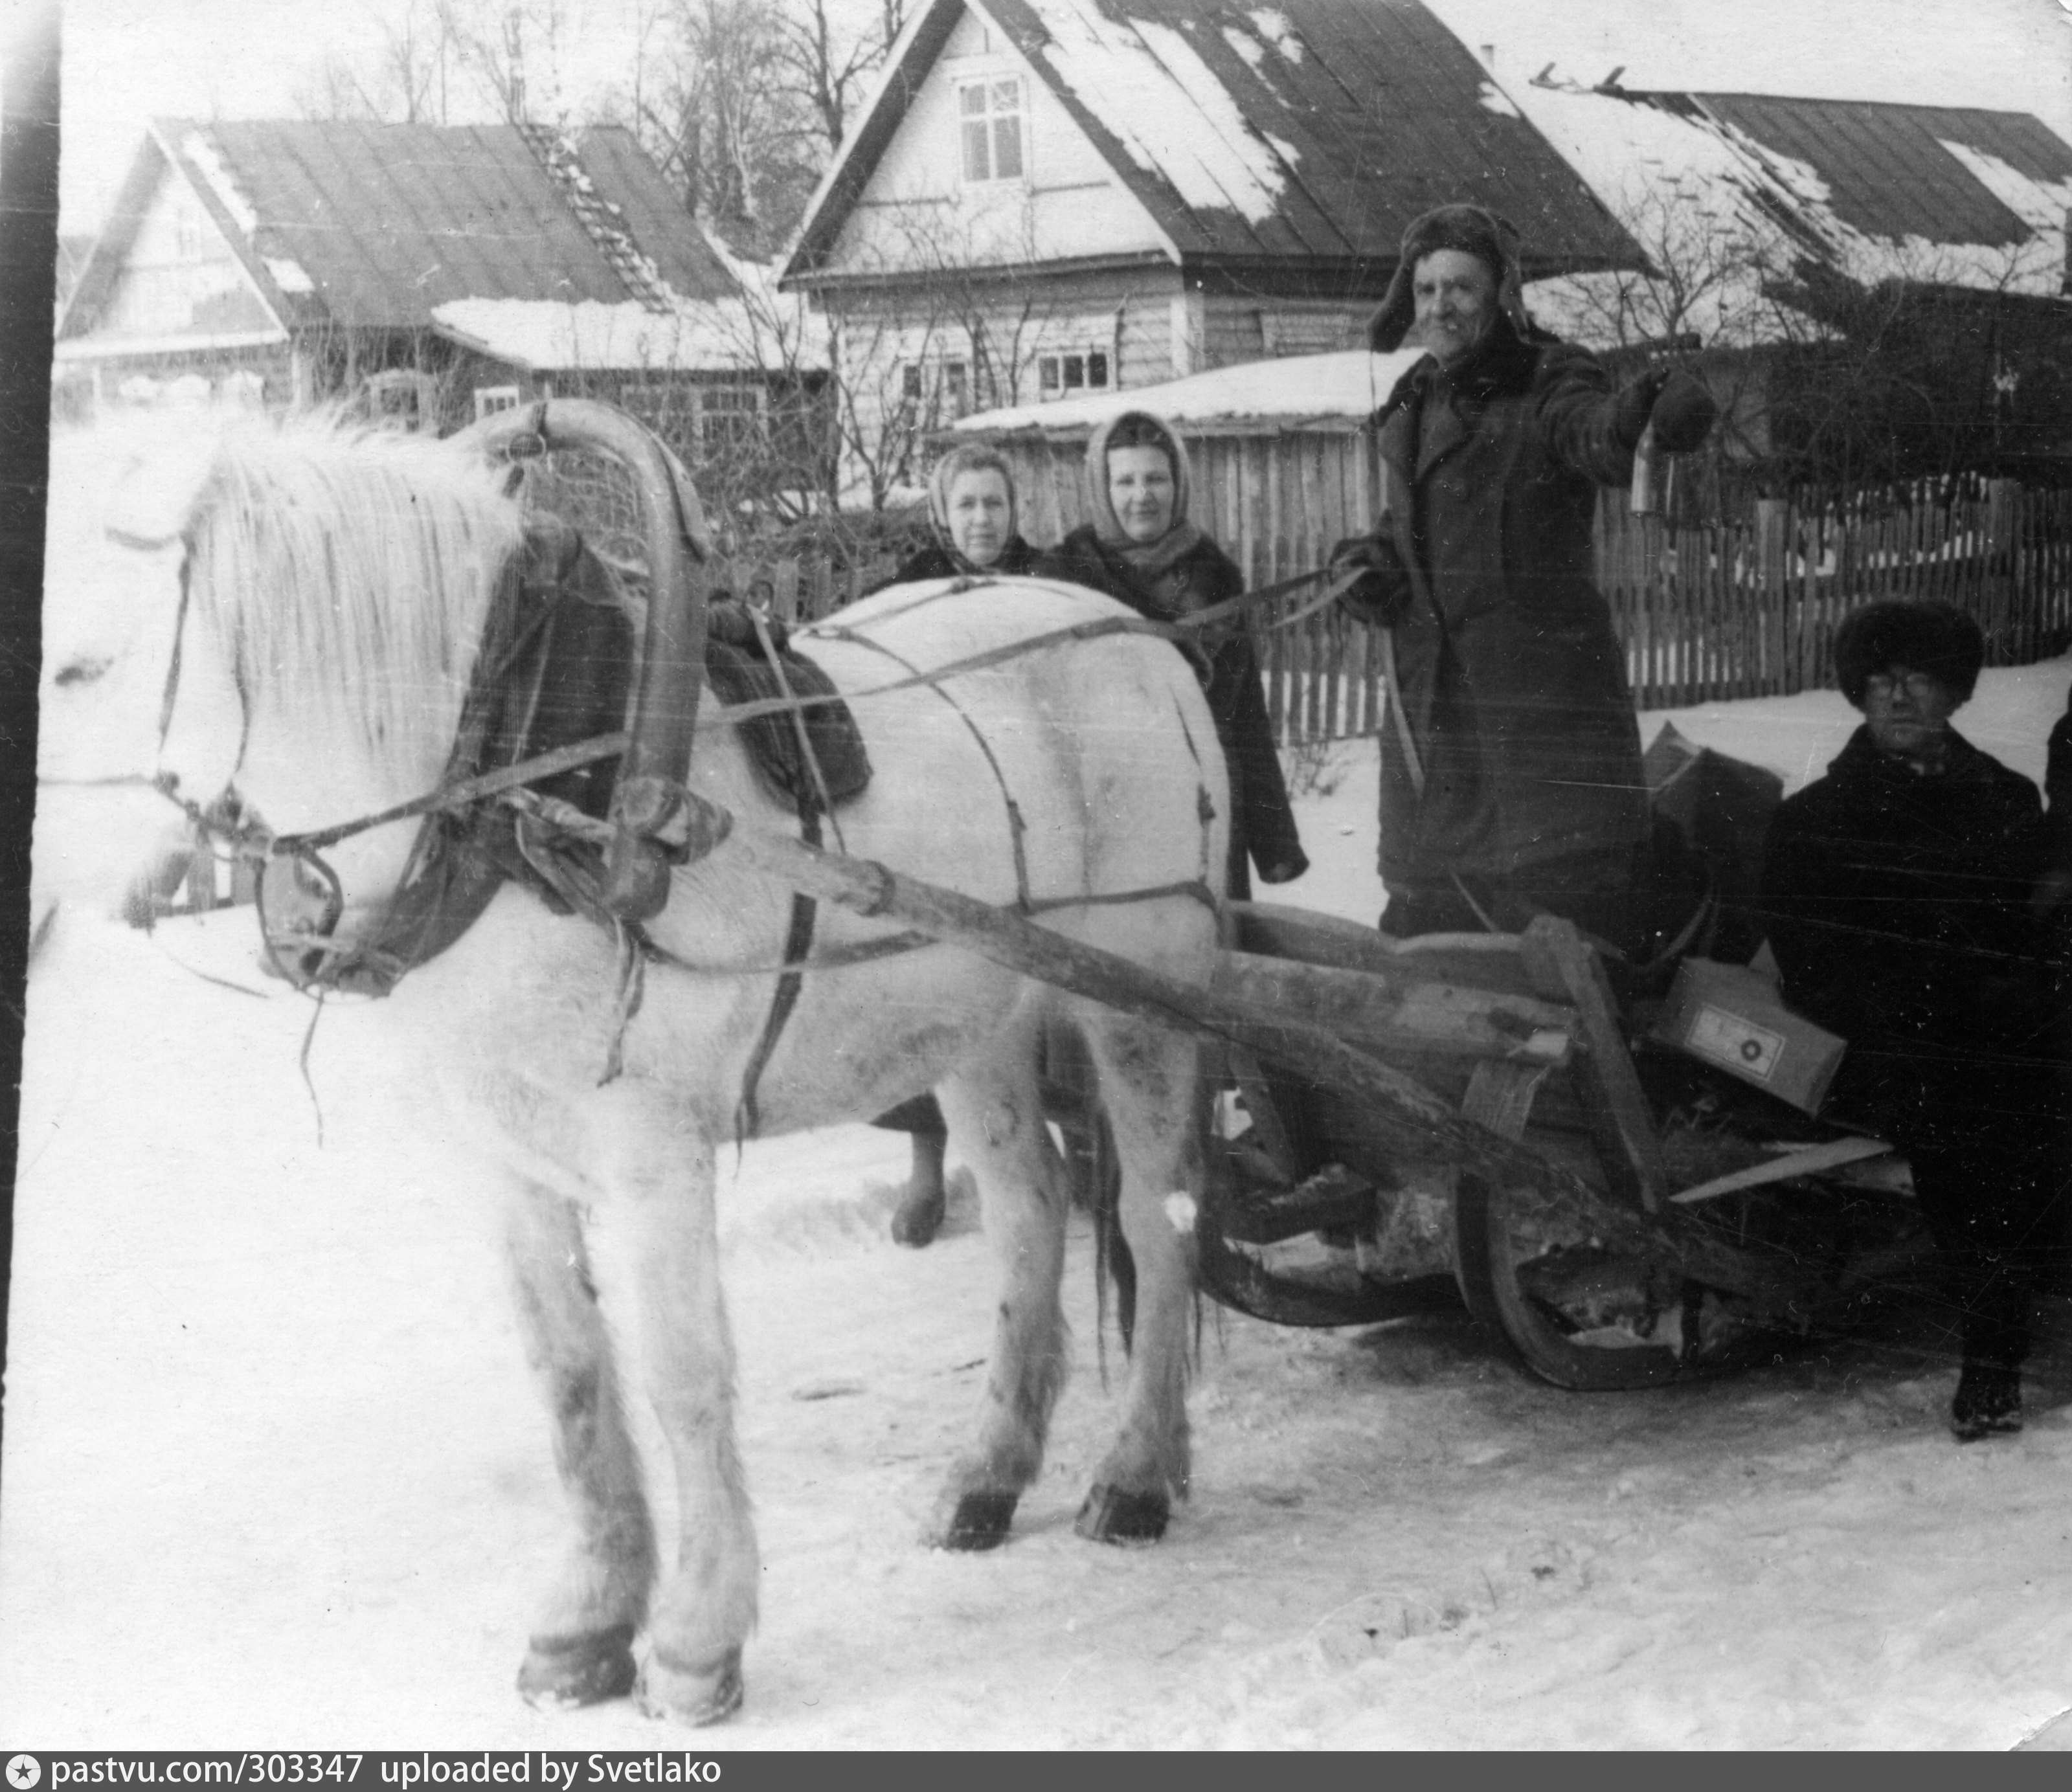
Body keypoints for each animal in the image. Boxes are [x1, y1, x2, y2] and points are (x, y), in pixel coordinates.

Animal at [85, 412, 1226, 1723]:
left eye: (80, 668)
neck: (531, 785)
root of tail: (1138, 636)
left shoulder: (652, 1153)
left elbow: (683, 1375)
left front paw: (695, 1641)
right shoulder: (503, 1160)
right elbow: (572, 1376)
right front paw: (585, 1624)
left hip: (1141, 992)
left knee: (1154, 1216)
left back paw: (1136, 1474)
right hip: (975, 1014)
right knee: (1034, 1209)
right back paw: (988, 1476)